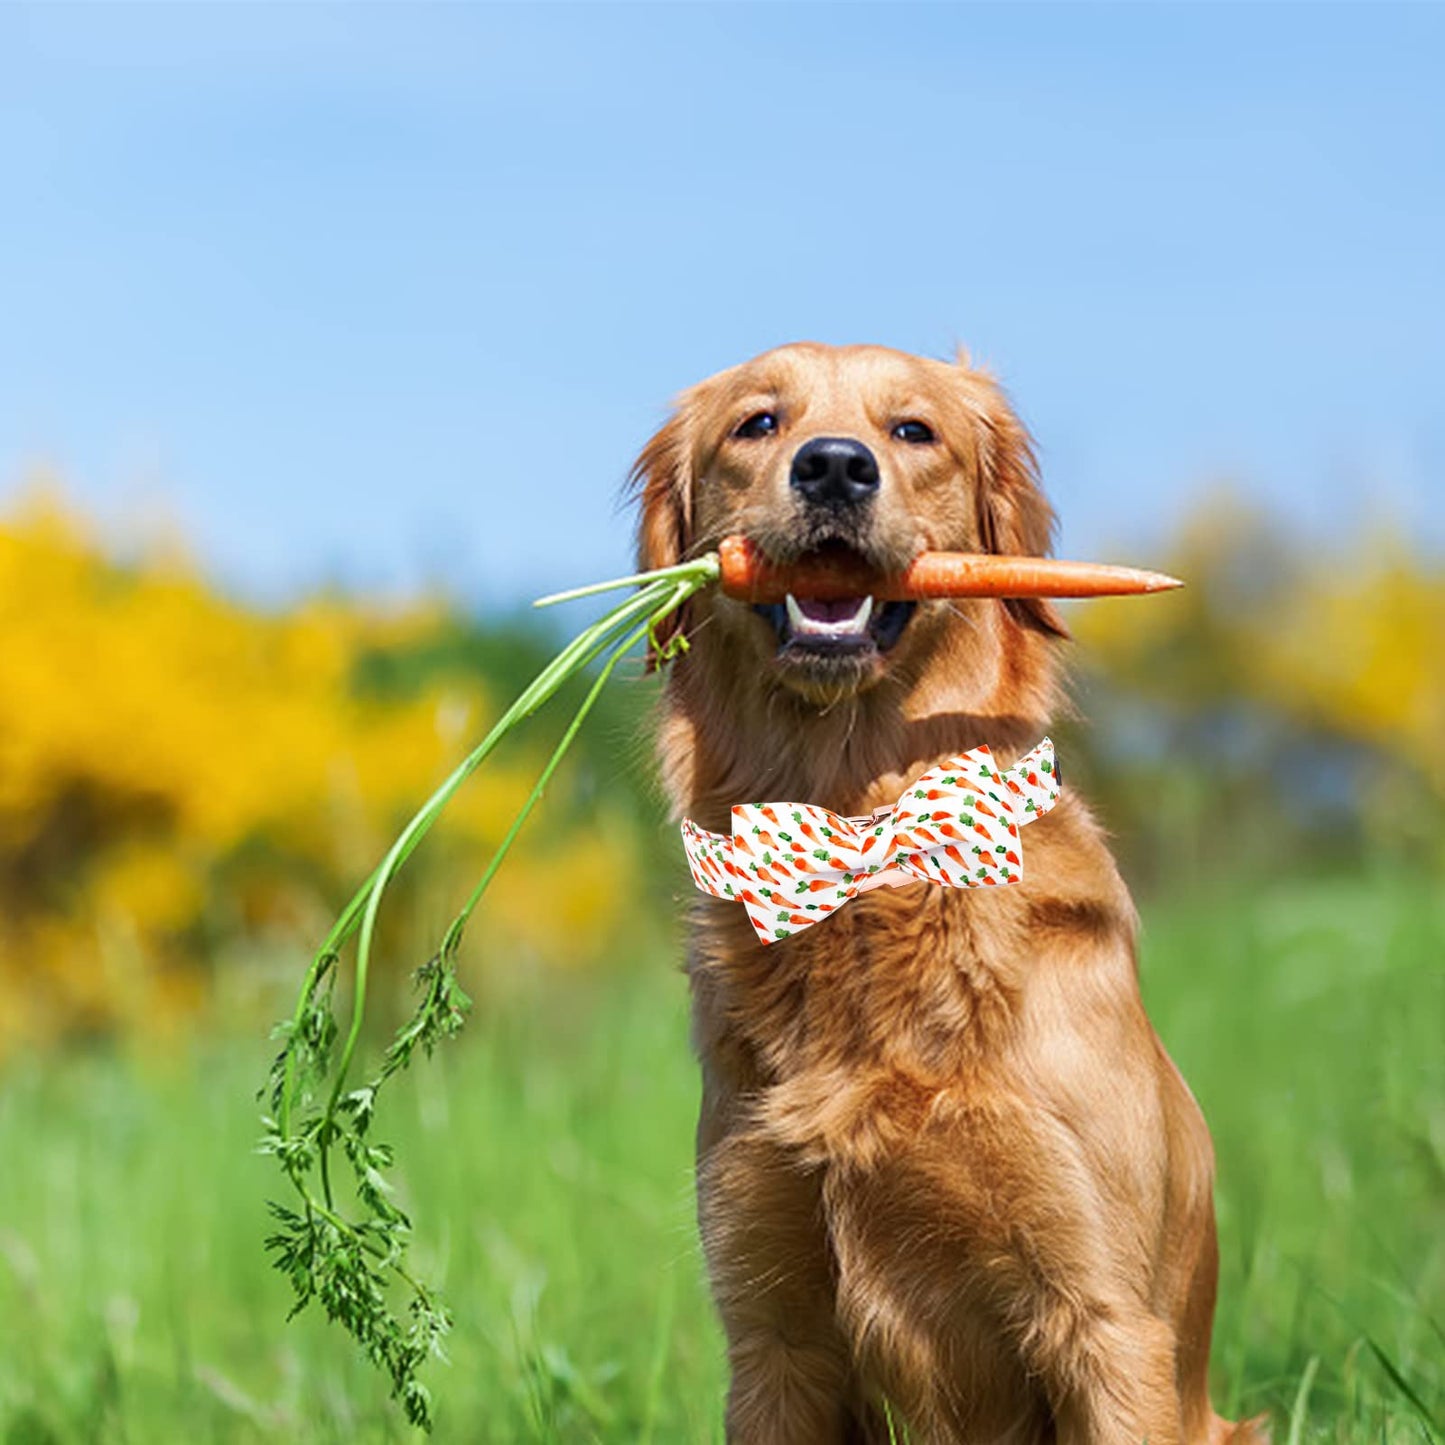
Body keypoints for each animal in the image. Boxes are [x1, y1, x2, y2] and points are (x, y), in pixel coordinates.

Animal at [627, 341, 1271, 1445]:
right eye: (757, 423)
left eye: (912, 430)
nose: (832, 467)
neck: (857, 830)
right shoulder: (772, 1330)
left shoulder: (1102, 1317)